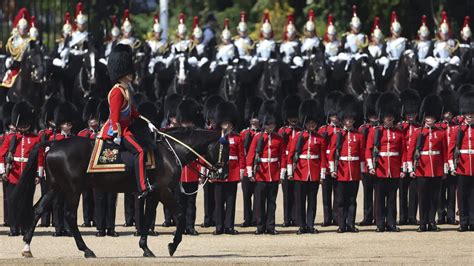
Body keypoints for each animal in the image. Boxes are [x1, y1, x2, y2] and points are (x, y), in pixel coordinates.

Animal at [9, 125, 228, 258]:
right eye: (224, 151)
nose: (223, 174)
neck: (170, 151)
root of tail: (54, 143)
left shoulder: (154, 193)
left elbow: (147, 219)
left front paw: (145, 247)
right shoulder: (164, 191)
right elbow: (180, 215)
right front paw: (172, 245)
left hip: (56, 187)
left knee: (37, 210)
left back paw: (27, 247)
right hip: (73, 189)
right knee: (70, 216)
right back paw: (86, 250)